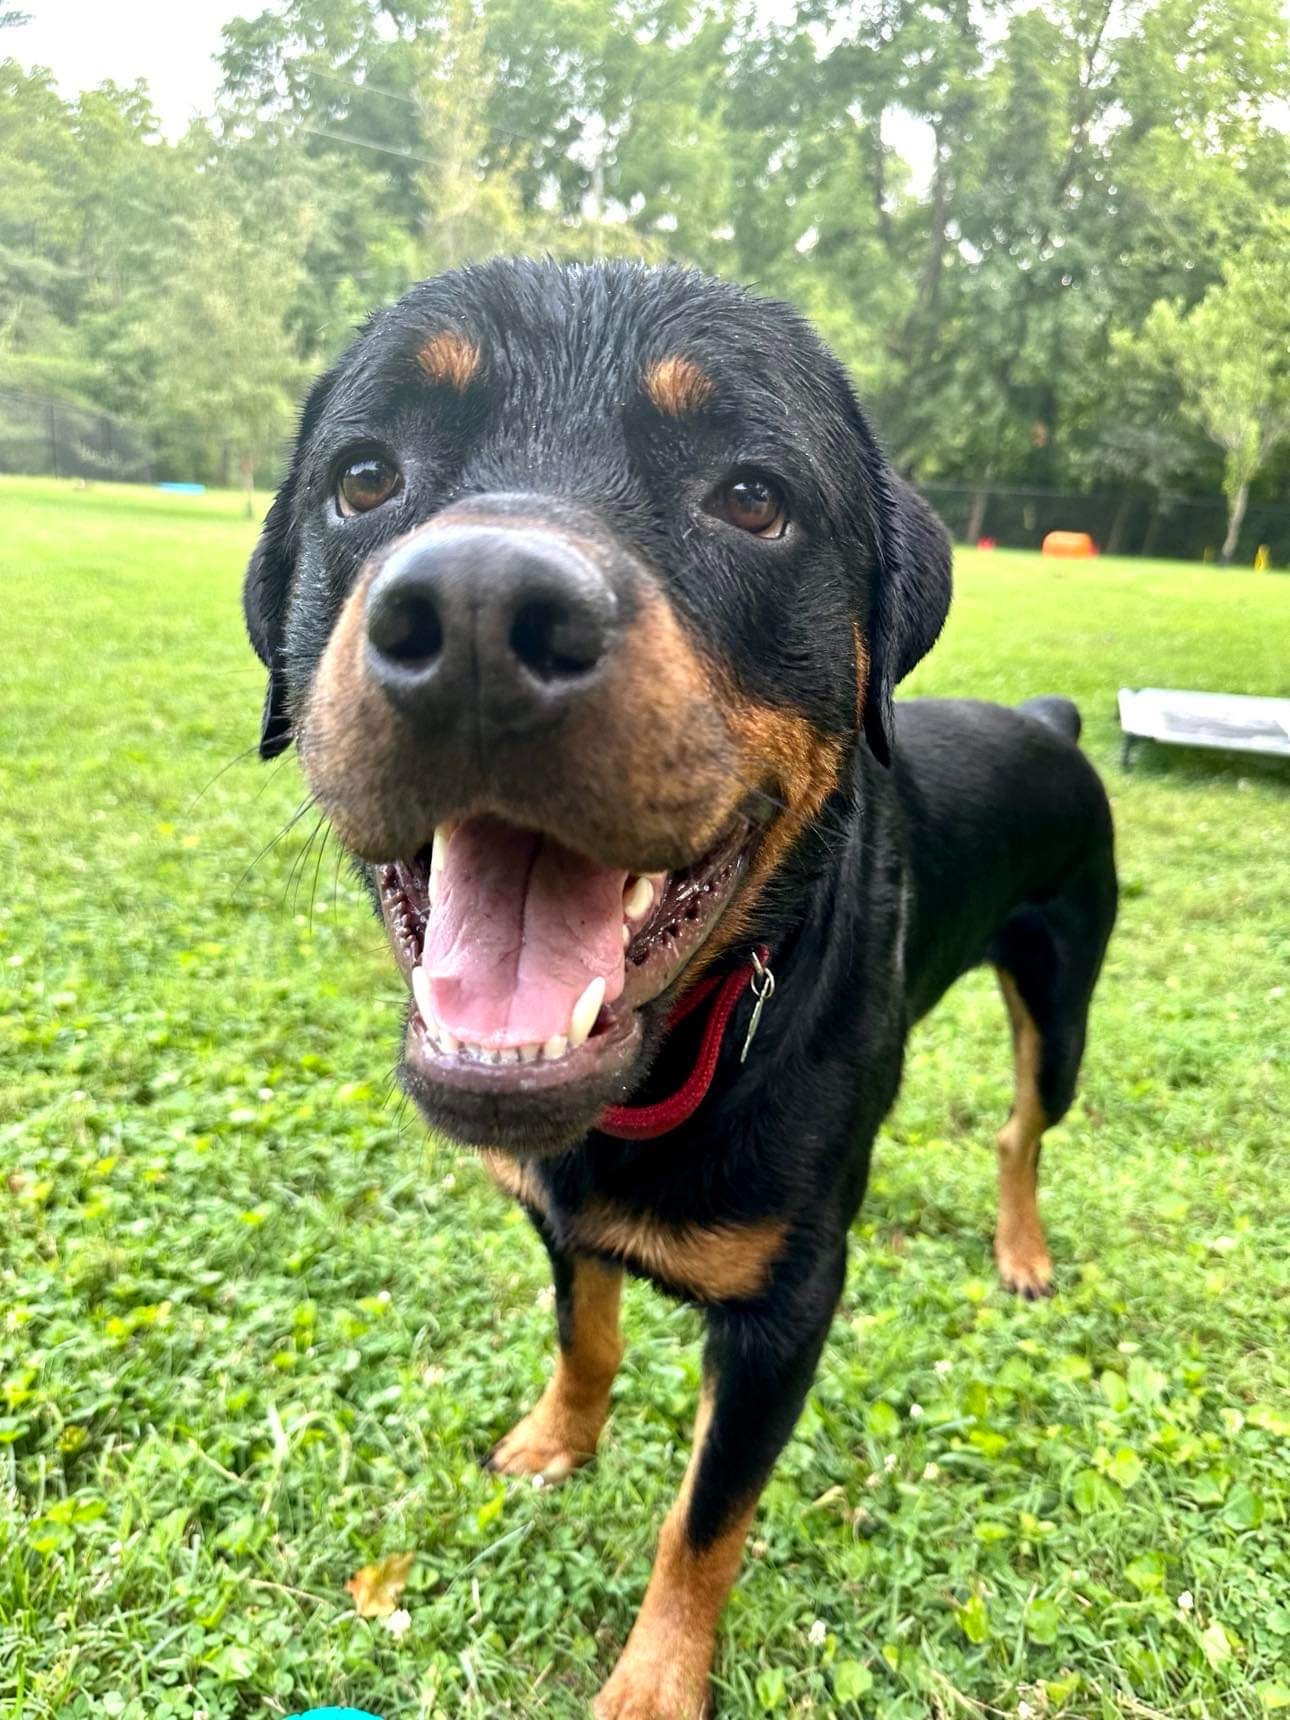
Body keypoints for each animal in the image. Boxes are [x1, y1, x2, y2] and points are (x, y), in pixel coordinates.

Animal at [244, 258, 1121, 1720]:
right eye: (363, 478)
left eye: (753, 498)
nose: (478, 614)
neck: (684, 1047)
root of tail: (1051, 718)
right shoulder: (560, 1216)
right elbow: (585, 1338)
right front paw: (555, 1441)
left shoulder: (786, 1312)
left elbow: (707, 1518)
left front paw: (656, 1680)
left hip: (1060, 1002)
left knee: (1019, 1127)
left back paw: (1022, 1248)